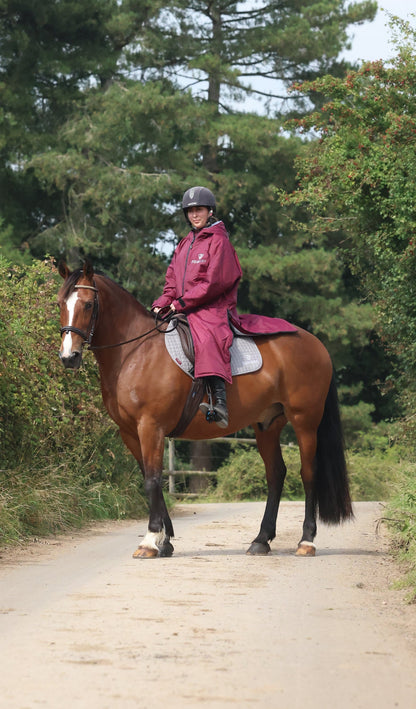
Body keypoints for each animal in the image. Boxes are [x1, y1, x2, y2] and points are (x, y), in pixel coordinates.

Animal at [57, 261, 353, 558]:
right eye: (60, 303)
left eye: (88, 304)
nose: (69, 357)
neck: (135, 352)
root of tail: (315, 343)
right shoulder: (130, 433)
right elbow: (152, 481)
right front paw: (166, 540)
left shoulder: (150, 427)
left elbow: (152, 480)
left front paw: (150, 540)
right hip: (267, 425)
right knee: (276, 474)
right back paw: (261, 540)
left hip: (305, 421)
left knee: (308, 473)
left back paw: (306, 541)